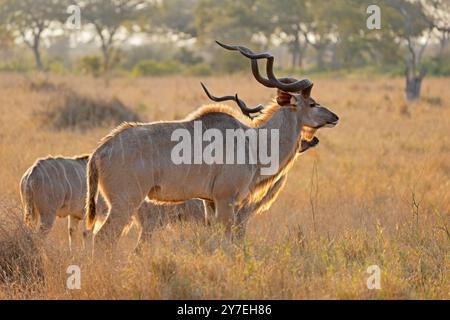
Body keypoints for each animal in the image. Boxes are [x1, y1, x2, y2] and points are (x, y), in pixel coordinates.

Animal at [86, 41, 336, 249]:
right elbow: (228, 241)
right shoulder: (226, 200)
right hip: (126, 202)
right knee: (103, 237)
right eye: (312, 103)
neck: (253, 142)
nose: (335, 117)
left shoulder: (210, 202)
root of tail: (99, 151)